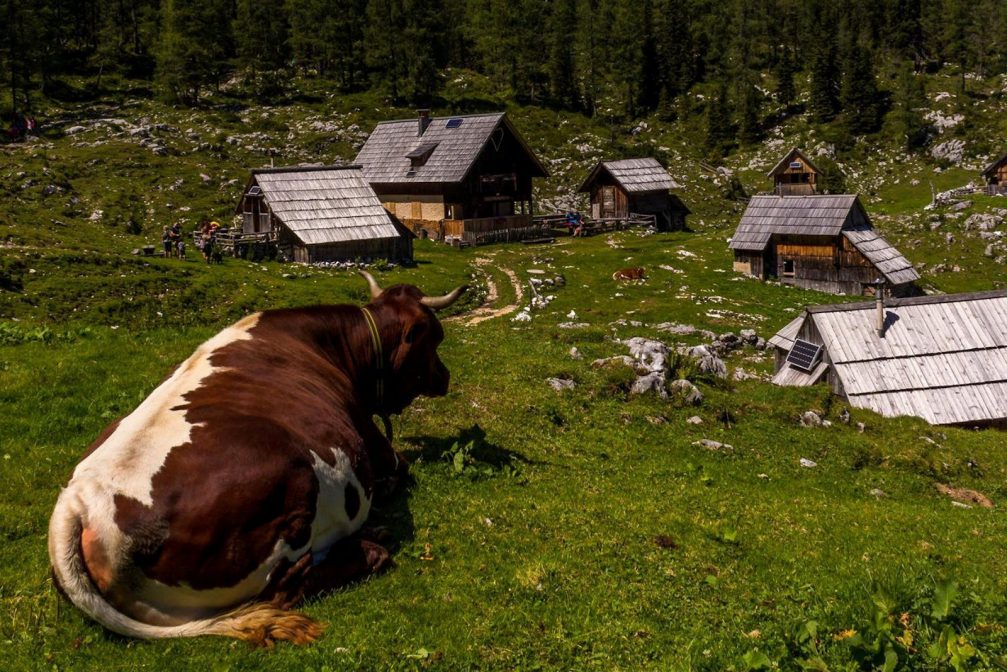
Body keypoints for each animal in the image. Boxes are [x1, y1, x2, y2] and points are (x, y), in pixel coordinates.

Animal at [49, 272, 465, 644]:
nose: (445, 376)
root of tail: (79, 502)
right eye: (435, 337)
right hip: (294, 489)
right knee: (286, 587)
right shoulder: (376, 445)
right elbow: (399, 470)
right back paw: (370, 547)